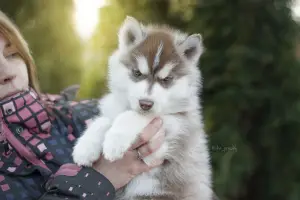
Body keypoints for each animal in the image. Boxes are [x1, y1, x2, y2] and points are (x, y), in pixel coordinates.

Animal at [72, 16, 213, 200]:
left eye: (166, 79)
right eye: (137, 73)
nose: (145, 104)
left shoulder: (169, 136)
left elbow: (130, 116)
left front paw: (114, 141)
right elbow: (103, 120)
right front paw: (85, 147)